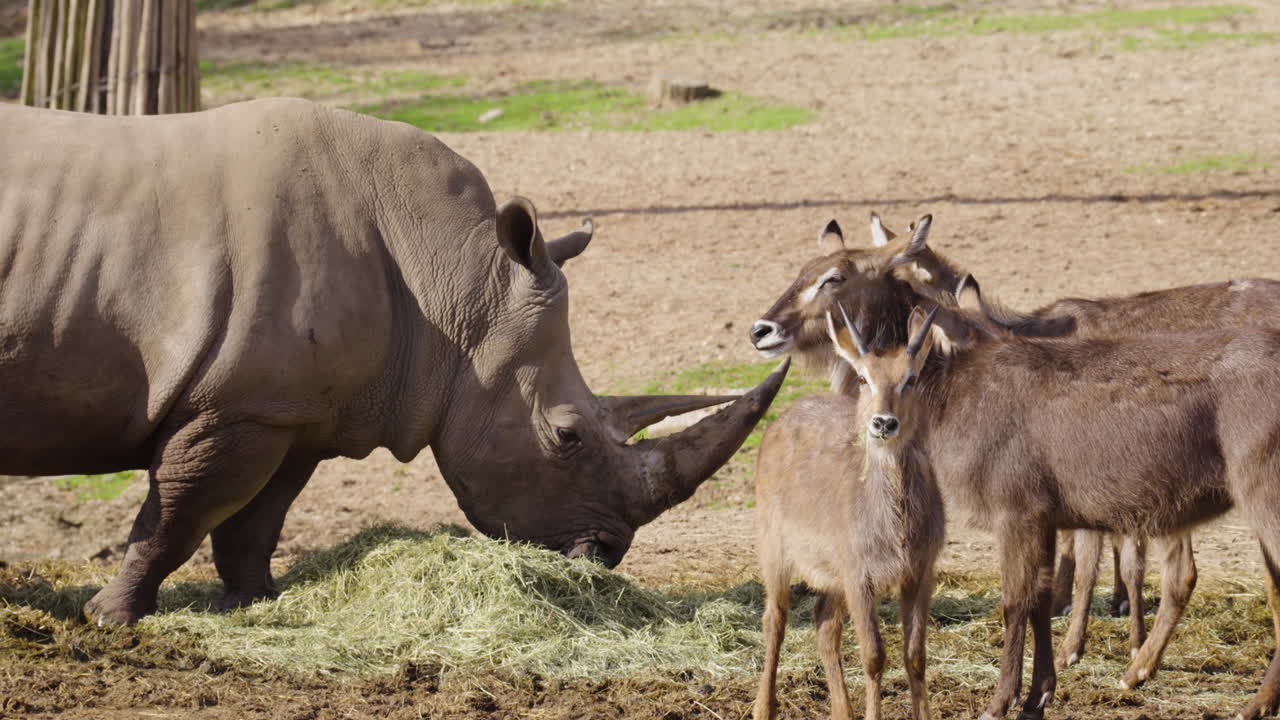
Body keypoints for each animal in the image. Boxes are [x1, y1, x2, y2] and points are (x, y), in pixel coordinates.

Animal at [0, 98, 787, 625]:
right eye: (567, 436)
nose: (608, 553)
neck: (457, 280)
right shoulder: (233, 406)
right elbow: (179, 513)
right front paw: (111, 618)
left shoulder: (290, 409)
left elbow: (256, 518)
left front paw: (252, 603)